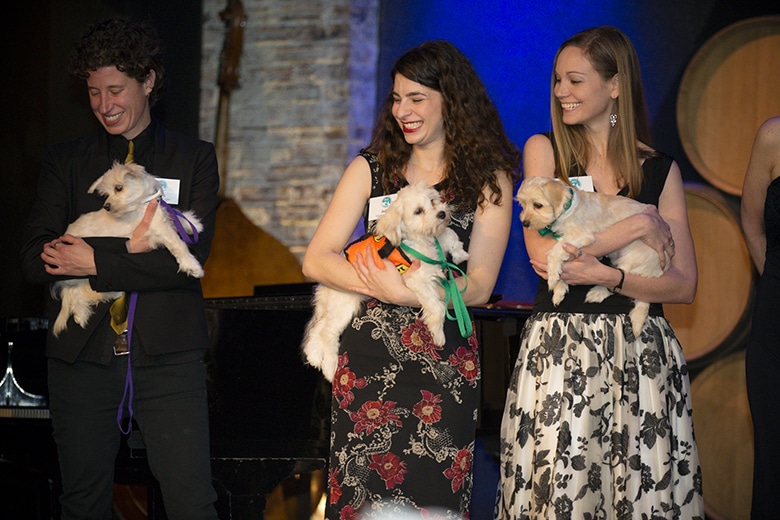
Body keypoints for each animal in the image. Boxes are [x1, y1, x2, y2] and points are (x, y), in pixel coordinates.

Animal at [50, 160, 204, 338]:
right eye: (105, 194)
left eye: (118, 188)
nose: (107, 206)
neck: (142, 204)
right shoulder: (159, 229)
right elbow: (178, 244)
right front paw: (192, 266)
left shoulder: (161, 218)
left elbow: (175, 215)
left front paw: (192, 223)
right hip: (78, 273)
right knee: (77, 294)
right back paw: (89, 308)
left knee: (80, 293)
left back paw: (87, 310)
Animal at [302, 183, 466, 382]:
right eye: (418, 211)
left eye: (433, 201)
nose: (442, 213)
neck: (419, 241)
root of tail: (324, 287)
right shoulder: (418, 280)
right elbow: (437, 307)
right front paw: (438, 334)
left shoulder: (436, 244)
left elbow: (449, 235)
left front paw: (460, 254)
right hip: (343, 306)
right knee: (327, 334)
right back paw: (329, 367)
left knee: (318, 331)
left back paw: (314, 356)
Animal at [516, 175, 672, 338]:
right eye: (522, 205)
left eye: (538, 205)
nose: (524, 223)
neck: (567, 210)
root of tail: (658, 270)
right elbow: (562, 261)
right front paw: (559, 289)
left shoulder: (579, 236)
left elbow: (554, 253)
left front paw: (552, 278)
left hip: (630, 259)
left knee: (619, 278)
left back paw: (597, 293)